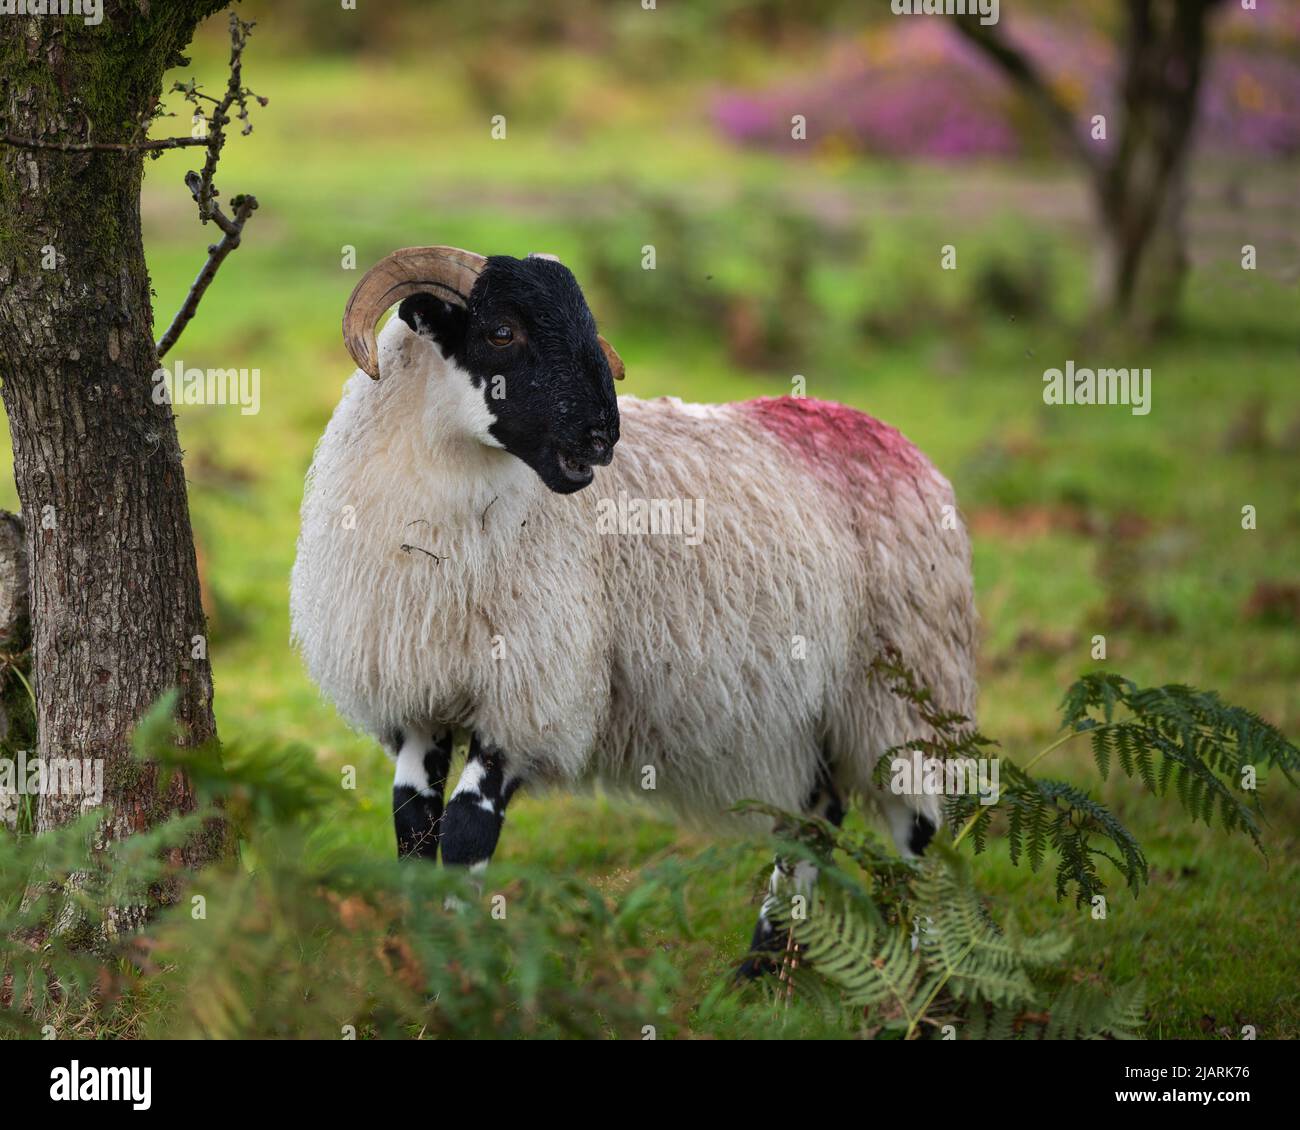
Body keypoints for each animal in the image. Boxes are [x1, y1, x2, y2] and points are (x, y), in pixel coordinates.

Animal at [287, 244, 977, 967]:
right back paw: (762, 966)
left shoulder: (527, 700)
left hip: (903, 689)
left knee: (920, 832)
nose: (602, 437)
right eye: (501, 331)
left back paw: (936, 975)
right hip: (813, 710)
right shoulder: (420, 700)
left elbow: (466, 834)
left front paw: (466, 965)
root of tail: (896, 441)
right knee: (817, 817)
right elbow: (414, 831)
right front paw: (426, 962)